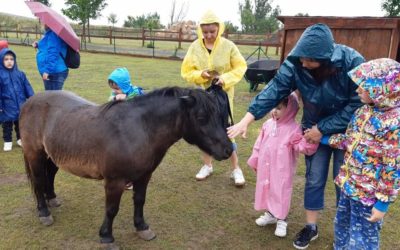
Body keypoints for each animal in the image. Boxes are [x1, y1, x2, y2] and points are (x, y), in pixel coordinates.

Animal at [20, 87, 233, 243]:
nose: (228, 149)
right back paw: (44, 211)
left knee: (49, 176)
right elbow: (111, 209)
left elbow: (139, 200)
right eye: (201, 118)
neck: (139, 129)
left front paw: (142, 227)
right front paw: (107, 237)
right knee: (38, 181)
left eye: (219, 115)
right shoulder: (115, 182)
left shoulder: (144, 176)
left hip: (53, 155)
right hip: (35, 155)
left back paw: (52, 199)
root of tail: (29, 101)